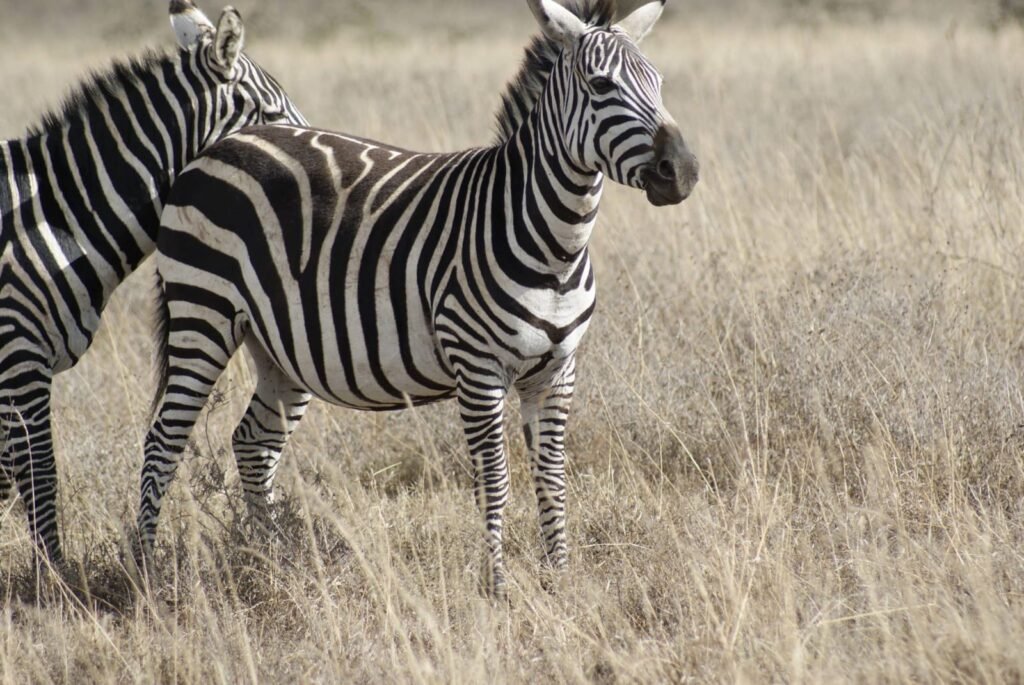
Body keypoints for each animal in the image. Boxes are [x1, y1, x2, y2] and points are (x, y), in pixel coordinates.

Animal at [137, 0, 698, 596]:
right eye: (600, 85)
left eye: (660, 84)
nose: (683, 172)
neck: (553, 244)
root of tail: (220, 146)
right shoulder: (479, 370)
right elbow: (495, 480)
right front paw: (497, 587)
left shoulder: (557, 371)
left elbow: (552, 476)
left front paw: (560, 580)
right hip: (203, 312)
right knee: (163, 443)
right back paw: (146, 573)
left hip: (278, 346)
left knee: (253, 442)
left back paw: (269, 563)